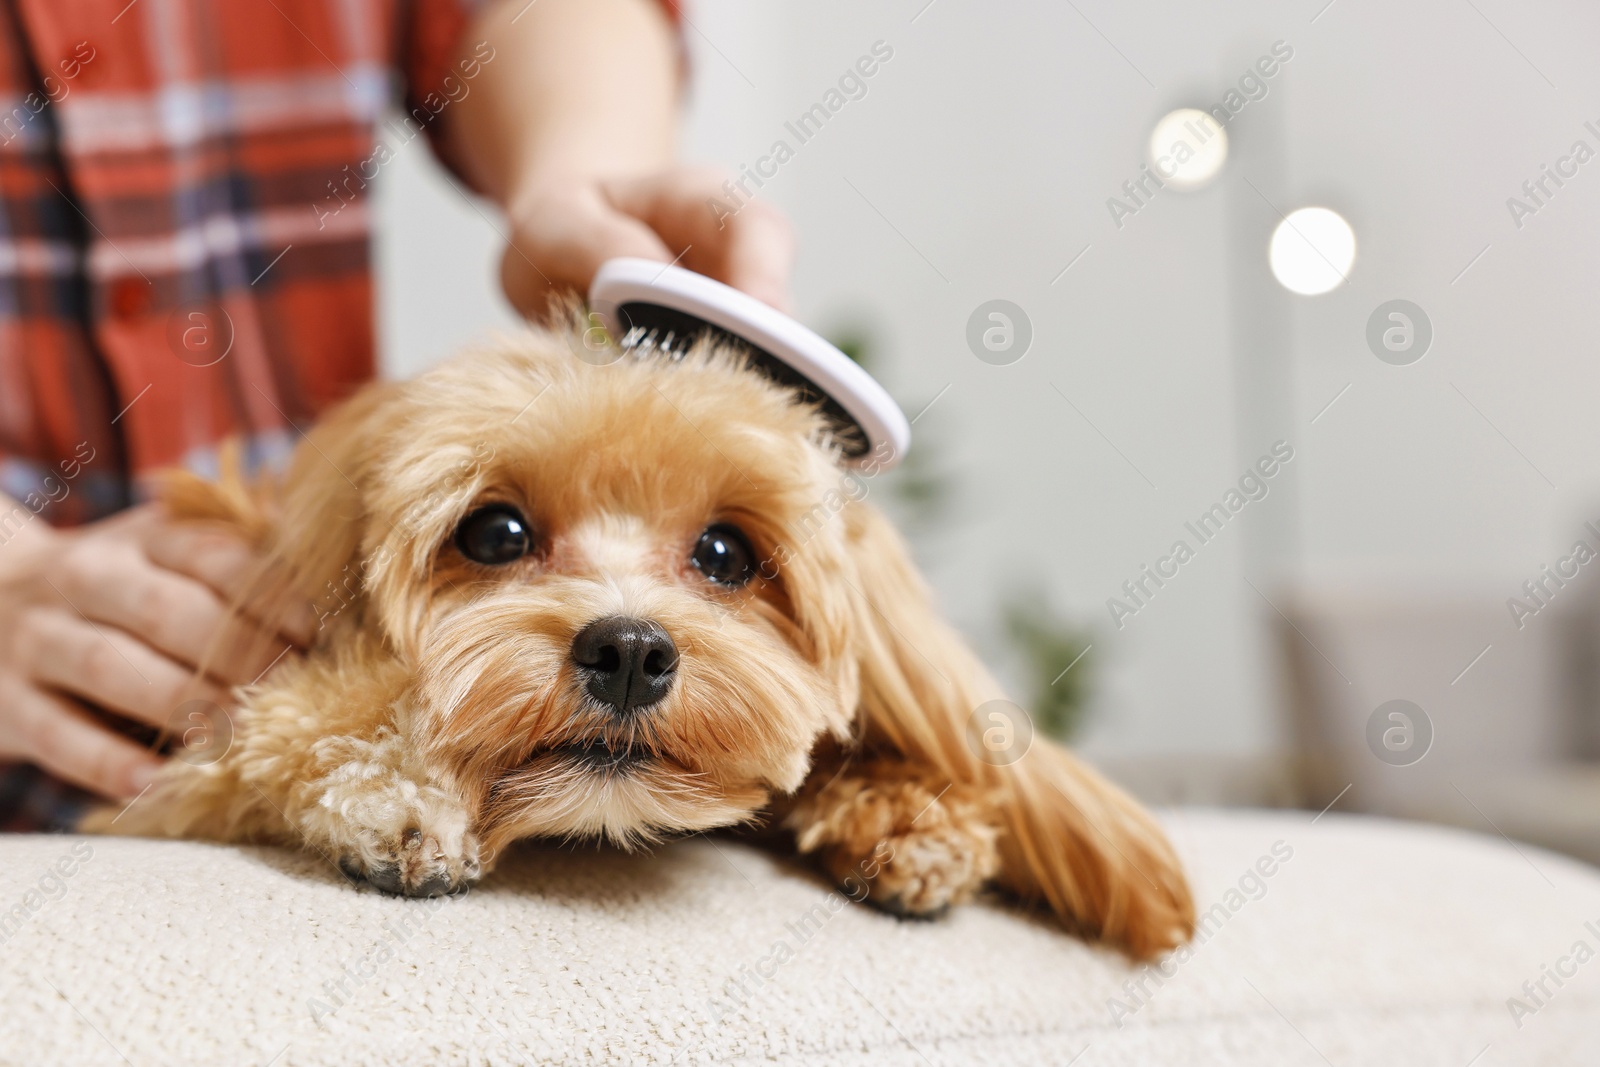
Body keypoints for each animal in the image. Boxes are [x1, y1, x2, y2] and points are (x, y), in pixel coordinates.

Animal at [84, 316, 1190, 959]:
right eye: (495, 533)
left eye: (726, 551)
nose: (627, 651)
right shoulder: (213, 751)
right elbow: (297, 721)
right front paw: (402, 801)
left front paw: (912, 821)